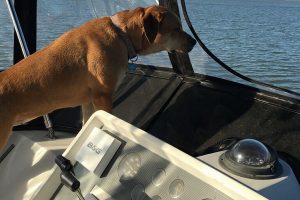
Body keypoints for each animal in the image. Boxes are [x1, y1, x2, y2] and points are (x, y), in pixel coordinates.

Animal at [0, 5, 196, 150]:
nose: (194, 41)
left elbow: (86, 124)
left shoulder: (88, 101)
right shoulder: (103, 96)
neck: (122, 34)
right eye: (176, 28)